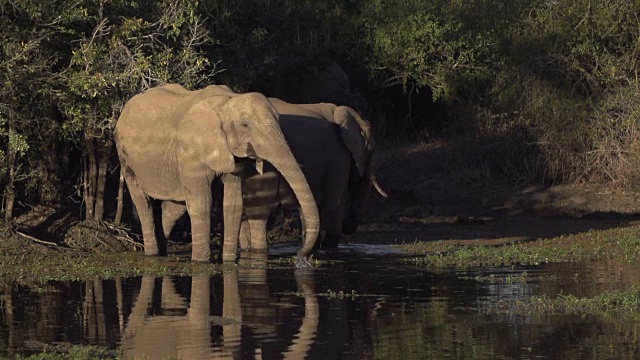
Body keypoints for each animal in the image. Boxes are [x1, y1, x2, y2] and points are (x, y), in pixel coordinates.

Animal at [115, 84, 320, 264]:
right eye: (245, 125)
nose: (300, 257)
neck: (227, 101)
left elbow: (233, 204)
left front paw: (228, 262)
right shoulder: (190, 151)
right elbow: (202, 204)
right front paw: (200, 262)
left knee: (172, 209)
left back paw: (163, 252)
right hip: (126, 160)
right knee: (144, 205)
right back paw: (152, 255)